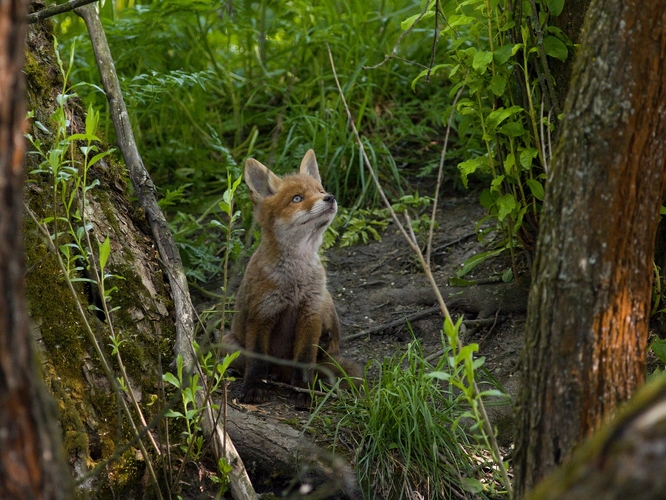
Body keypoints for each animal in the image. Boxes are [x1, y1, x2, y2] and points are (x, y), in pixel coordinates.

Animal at [222, 150, 358, 408]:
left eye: (320, 190)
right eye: (297, 198)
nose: (330, 197)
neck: (295, 282)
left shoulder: (310, 314)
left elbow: (304, 360)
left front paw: (303, 392)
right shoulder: (261, 315)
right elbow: (257, 361)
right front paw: (254, 388)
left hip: (325, 303)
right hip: (229, 345)